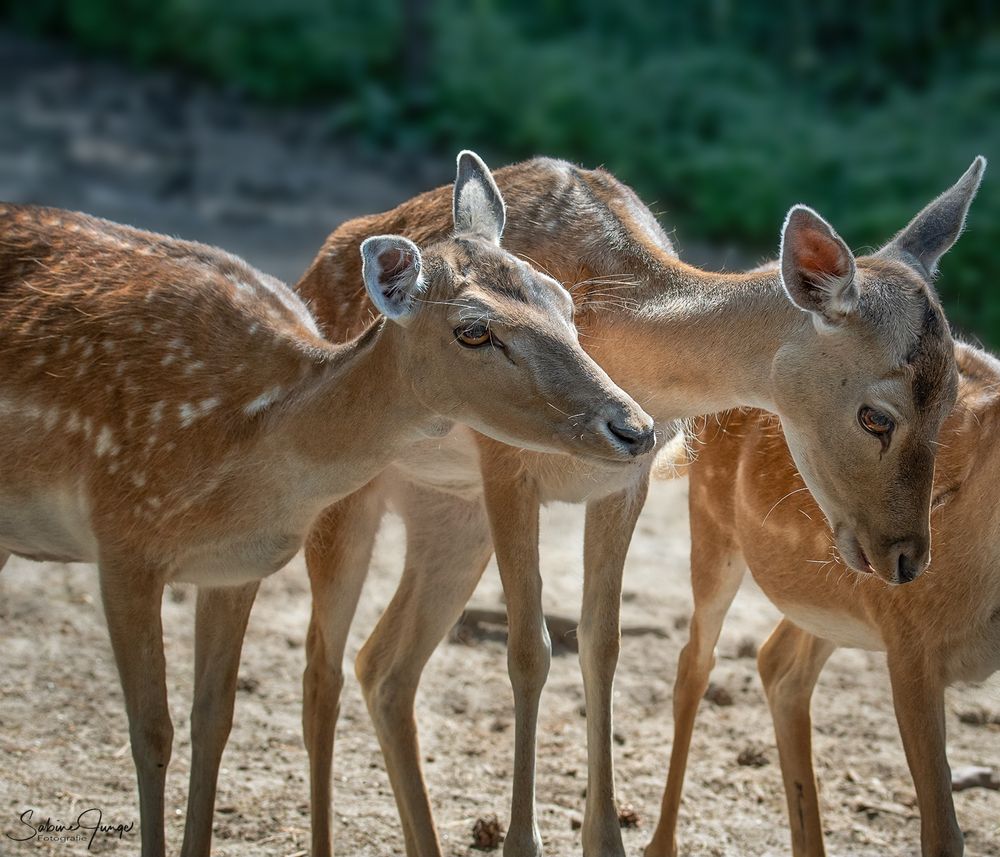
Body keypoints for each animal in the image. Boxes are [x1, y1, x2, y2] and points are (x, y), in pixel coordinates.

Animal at [0, 152, 656, 856]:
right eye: (474, 330)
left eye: (562, 298)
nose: (635, 427)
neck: (243, 439)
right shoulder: (123, 539)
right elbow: (152, 733)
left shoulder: (236, 567)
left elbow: (213, 722)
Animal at [648, 336, 1000, 856]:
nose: (908, 562)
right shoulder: (911, 642)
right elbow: (941, 832)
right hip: (712, 521)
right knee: (695, 662)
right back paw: (660, 843)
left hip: (831, 598)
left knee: (779, 666)